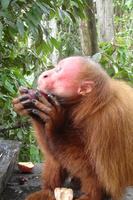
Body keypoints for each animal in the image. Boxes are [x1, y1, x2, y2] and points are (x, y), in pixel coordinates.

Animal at [13, 56, 133, 200]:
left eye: (59, 70)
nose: (44, 74)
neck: (85, 104)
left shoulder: (110, 120)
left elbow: (107, 176)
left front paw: (56, 124)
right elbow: (53, 154)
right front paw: (34, 113)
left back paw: (91, 196)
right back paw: (48, 190)